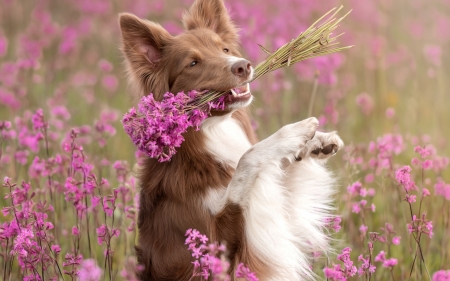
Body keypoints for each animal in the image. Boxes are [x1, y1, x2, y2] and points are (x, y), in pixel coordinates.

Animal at [118, 1, 344, 278]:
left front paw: (315, 143)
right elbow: (248, 159)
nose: (243, 65)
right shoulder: (215, 244)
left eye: (224, 49)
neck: (213, 129)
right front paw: (292, 133)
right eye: (193, 63)